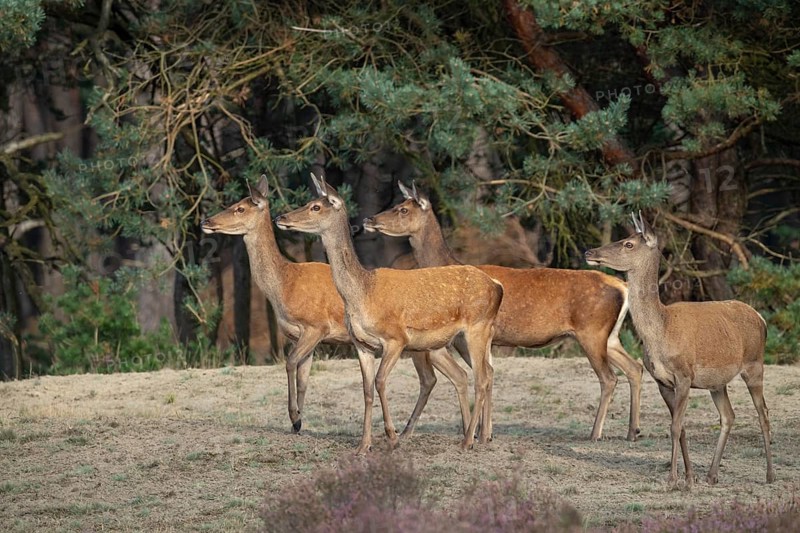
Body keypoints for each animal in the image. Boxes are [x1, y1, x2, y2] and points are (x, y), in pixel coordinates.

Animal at [200, 176, 475, 439]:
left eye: (240, 208)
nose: (206, 220)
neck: (284, 285)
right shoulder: (299, 336)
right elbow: (303, 378)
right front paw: (298, 423)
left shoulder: (315, 326)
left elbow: (290, 363)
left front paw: (294, 417)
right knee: (457, 375)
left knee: (437, 377)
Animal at [274, 173, 504, 454]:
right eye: (308, 201)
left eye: (316, 206)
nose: (281, 217)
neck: (363, 293)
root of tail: (497, 286)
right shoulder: (362, 345)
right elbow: (367, 389)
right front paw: (363, 446)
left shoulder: (396, 339)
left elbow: (381, 381)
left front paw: (392, 438)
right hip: (461, 337)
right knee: (482, 373)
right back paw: (479, 436)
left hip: (477, 328)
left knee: (481, 377)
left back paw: (469, 440)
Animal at [363, 183, 644, 441]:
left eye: (403, 209)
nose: (369, 219)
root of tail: (622, 286)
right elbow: (490, 374)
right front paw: (485, 433)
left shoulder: (472, 335)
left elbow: (484, 375)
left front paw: (480, 434)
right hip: (610, 337)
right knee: (634, 367)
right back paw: (633, 431)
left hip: (591, 332)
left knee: (609, 378)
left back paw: (596, 433)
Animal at [585, 213, 774, 486]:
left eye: (629, 244)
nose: (589, 251)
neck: (661, 332)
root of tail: (761, 319)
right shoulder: (662, 381)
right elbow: (680, 426)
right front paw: (689, 477)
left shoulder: (684, 375)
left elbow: (675, 427)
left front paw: (674, 479)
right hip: (717, 383)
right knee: (728, 416)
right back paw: (712, 475)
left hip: (754, 365)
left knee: (763, 413)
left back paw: (770, 475)